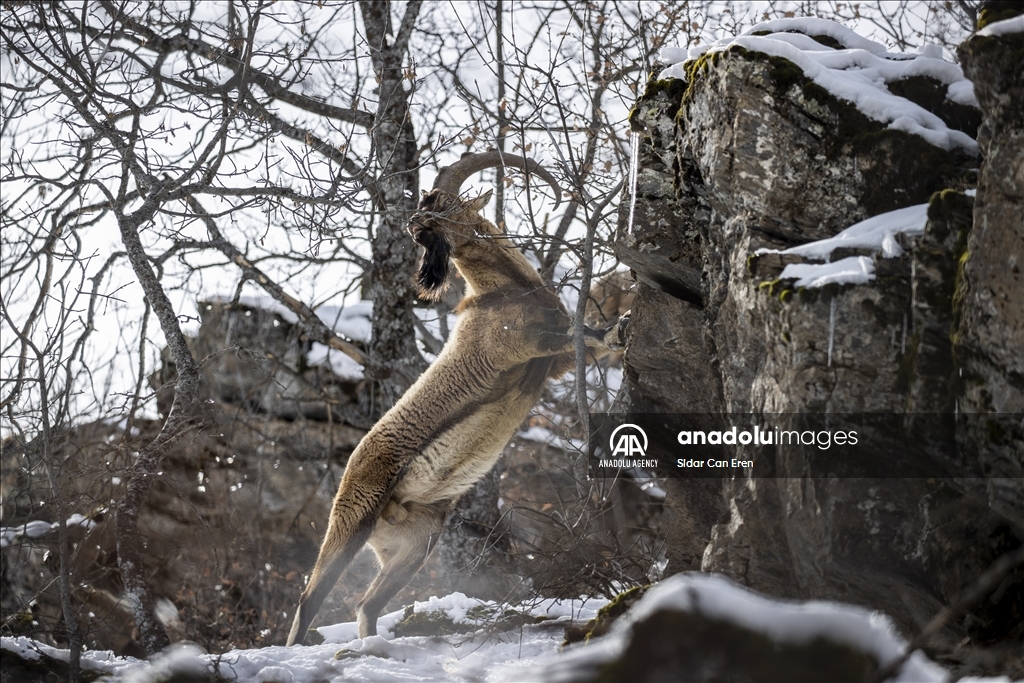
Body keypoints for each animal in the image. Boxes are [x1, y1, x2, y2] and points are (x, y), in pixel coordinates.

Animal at [284, 150, 626, 647]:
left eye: (446, 206)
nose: (415, 225)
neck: (503, 291)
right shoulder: (522, 345)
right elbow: (579, 333)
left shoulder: (553, 363)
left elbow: (590, 340)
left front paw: (622, 331)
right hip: (352, 521)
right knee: (310, 598)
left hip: (415, 546)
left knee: (366, 604)